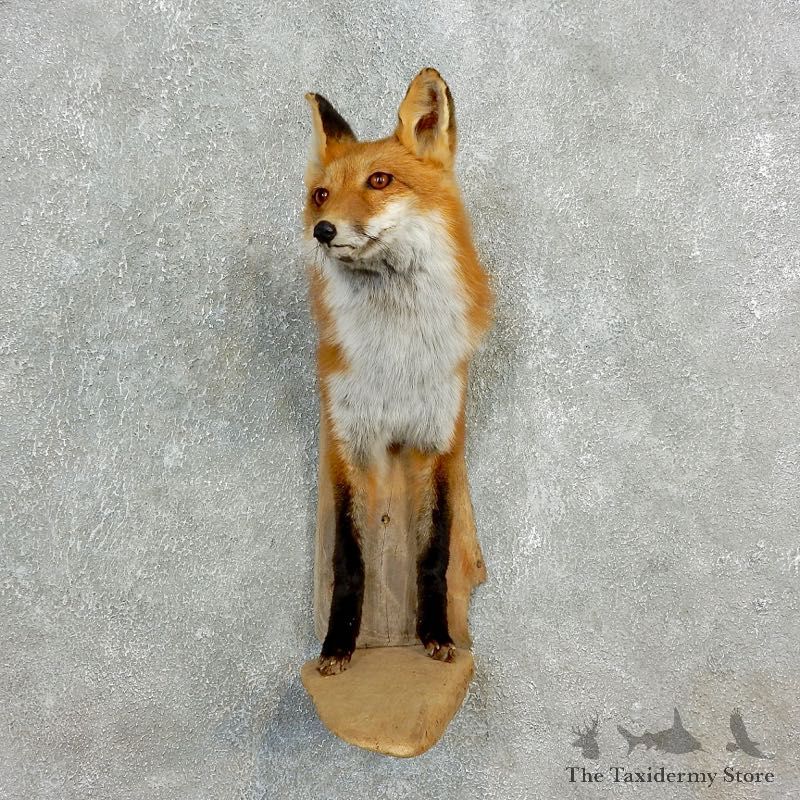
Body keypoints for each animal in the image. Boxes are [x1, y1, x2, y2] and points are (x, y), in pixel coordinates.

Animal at [303, 68, 493, 676]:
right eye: (320, 195)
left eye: (380, 180)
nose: (322, 230)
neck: (395, 357)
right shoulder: (348, 438)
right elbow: (349, 558)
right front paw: (336, 647)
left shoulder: (440, 439)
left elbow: (434, 551)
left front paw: (437, 637)